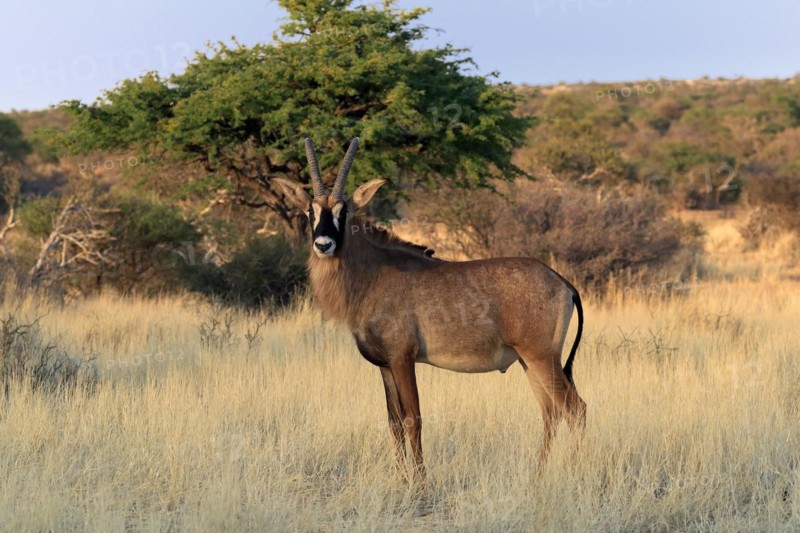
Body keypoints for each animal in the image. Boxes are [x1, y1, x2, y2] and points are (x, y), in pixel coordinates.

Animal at [272, 137, 586, 480]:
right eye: (310, 210)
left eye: (345, 211)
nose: (324, 244)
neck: (372, 274)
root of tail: (562, 283)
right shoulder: (384, 366)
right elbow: (394, 423)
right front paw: (401, 480)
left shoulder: (403, 359)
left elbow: (414, 419)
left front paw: (421, 484)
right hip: (530, 362)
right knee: (551, 412)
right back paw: (537, 477)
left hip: (541, 358)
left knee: (575, 409)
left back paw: (576, 473)